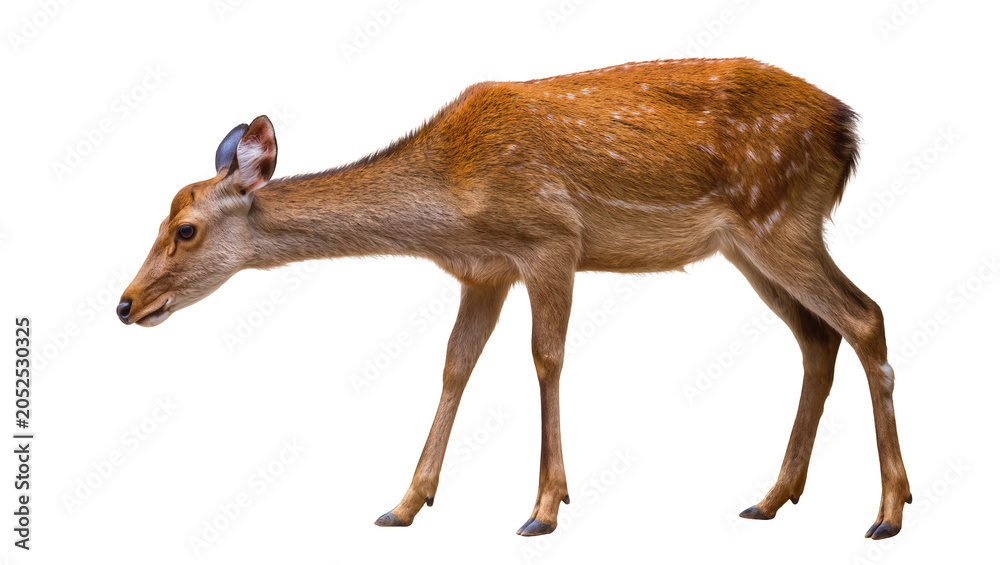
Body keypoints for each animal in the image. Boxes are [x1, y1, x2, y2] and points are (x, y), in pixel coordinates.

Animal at [117, 57, 911, 539]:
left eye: (185, 228)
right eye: (161, 218)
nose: (125, 304)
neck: (451, 205)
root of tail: (847, 131)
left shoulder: (551, 240)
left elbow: (546, 358)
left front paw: (544, 508)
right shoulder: (484, 270)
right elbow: (455, 365)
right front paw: (403, 504)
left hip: (781, 218)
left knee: (864, 315)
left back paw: (888, 511)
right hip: (749, 244)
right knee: (818, 336)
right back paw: (771, 498)